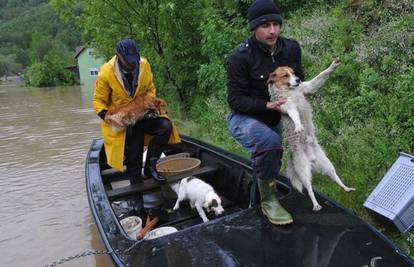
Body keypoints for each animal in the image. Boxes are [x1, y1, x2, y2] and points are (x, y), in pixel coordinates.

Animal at [268, 58, 356, 211]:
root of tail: (311, 159)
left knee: (336, 178)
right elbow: (295, 116)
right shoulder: (288, 107)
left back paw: (346, 188)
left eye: (293, 72)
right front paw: (298, 126)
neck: (289, 91)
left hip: (327, 165)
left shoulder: (307, 87)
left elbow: (320, 76)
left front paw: (332, 67)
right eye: (285, 75)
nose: (298, 79)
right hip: (304, 173)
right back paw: (315, 204)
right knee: (309, 189)